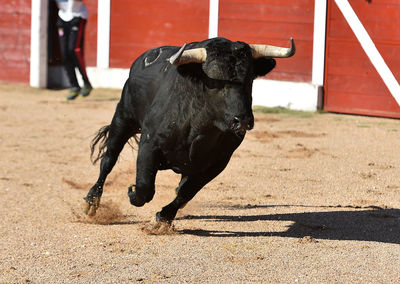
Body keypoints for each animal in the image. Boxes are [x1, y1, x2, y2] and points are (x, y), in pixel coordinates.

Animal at [83, 37, 294, 224]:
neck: (201, 128)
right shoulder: (149, 145)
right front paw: (132, 192)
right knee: (108, 160)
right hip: (123, 118)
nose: (241, 121)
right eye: (214, 82)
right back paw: (91, 202)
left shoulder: (218, 162)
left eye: (250, 79)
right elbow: (144, 188)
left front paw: (162, 219)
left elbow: (186, 192)